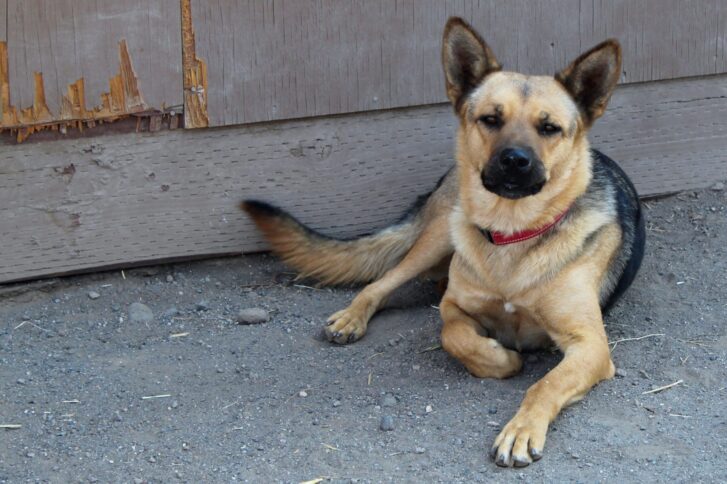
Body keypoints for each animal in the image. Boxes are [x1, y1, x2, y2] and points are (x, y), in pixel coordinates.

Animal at [241, 17, 645, 467]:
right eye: (491, 119)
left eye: (549, 128)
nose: (515, 161)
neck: (512, 234)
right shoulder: (456, 308)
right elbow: (454, 335)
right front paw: (501, 358)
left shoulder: (591, 346)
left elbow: (546, 384)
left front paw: (521, 430)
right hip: (437, 237)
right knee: (381, 282)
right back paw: (352, 316)